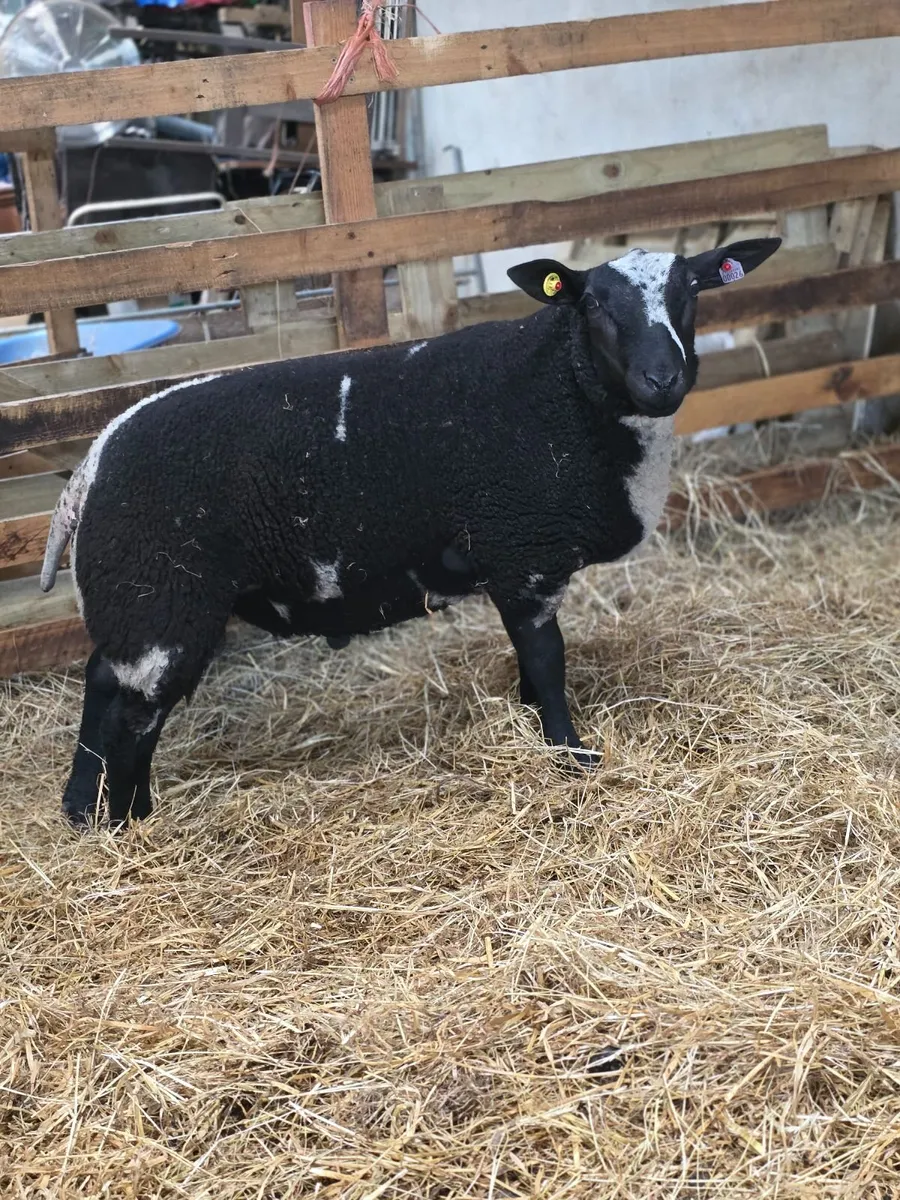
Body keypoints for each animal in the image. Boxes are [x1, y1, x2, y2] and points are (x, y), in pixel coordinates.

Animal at [42, 237, 780, 827]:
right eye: (594, 304)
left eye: (692, 291)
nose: (664, 379)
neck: (565, 390)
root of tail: (90, 466)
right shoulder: (524, 552)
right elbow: (548, 659)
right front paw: (571, 755)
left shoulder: (518, 562)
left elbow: (531, 663)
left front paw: (533, 726)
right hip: (160, 598)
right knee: (132, 711)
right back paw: (126, 819)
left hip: (138, 604)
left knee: (101, 680)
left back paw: (83, 810)